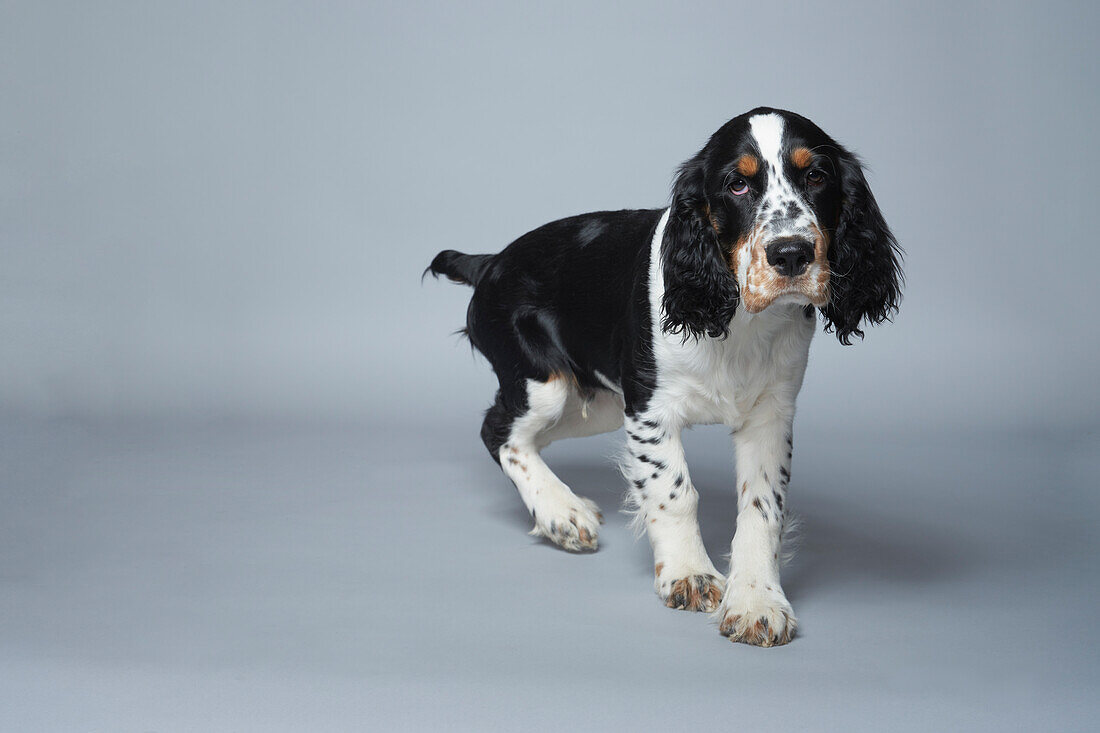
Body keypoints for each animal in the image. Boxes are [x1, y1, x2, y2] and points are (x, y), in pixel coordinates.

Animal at [424, 105, 897, 642]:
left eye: (817, 175)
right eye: (737, 185)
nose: (791, 253)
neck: (737, 319)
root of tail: (490, 263)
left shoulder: (770, 415)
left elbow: (762, 507)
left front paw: (756, 600)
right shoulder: (651, 410)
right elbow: (675, 492)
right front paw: (690, 575)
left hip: (598, 405)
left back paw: (564, 505)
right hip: (547, 385)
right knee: (499, 431)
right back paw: (562, 513)